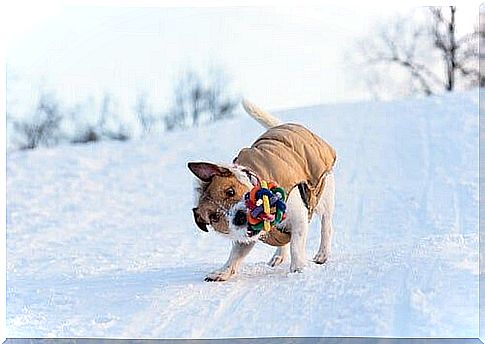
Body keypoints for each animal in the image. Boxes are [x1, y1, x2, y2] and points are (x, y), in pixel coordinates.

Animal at [187, 100, 334, 282]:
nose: (239, 217)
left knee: (326, 225)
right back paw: (278, 256)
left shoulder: (298, 216)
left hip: (323, 195)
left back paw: (322, 254)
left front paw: (298, 268)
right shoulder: (246, 237)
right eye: (214, 217)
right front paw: (222, 272)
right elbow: (235, 255)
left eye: (230, 191)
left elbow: (296, 244)